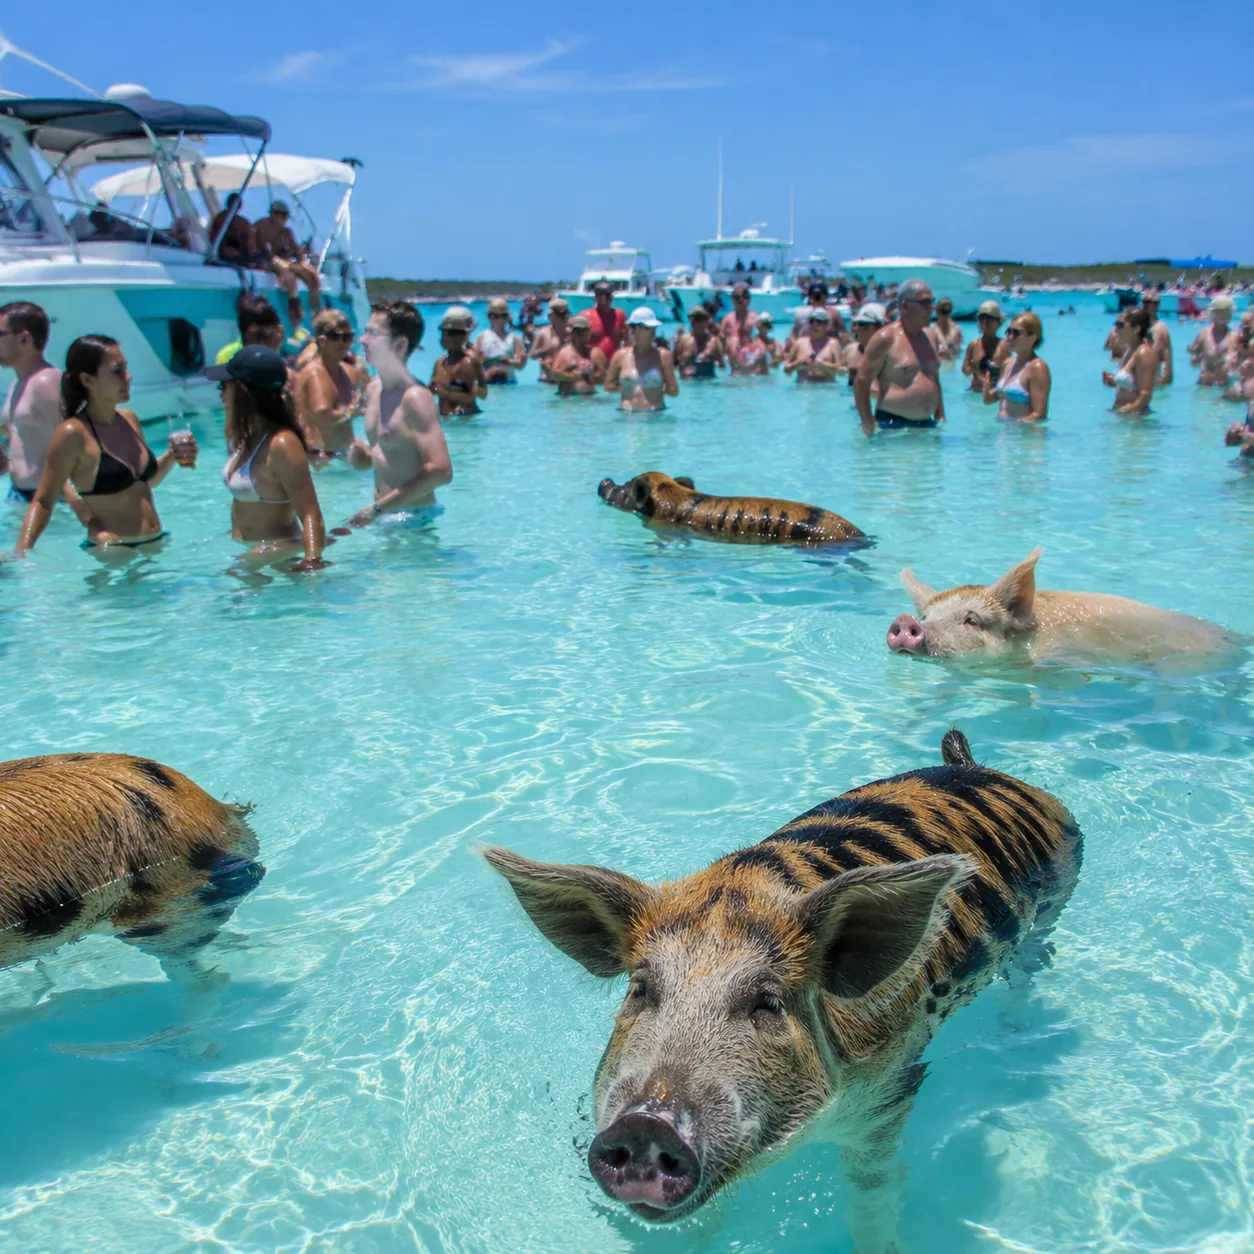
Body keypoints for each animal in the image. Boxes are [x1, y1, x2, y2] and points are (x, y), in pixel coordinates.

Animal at [484, 730, 1081, 1252]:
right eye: (641, 989)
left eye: (767, 1002)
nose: (646, 1122)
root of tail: (977, 768)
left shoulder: (888, 1094)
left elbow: (871, 1193)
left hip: (1057, 898)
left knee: (1034, 964)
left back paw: (1018, 1026)